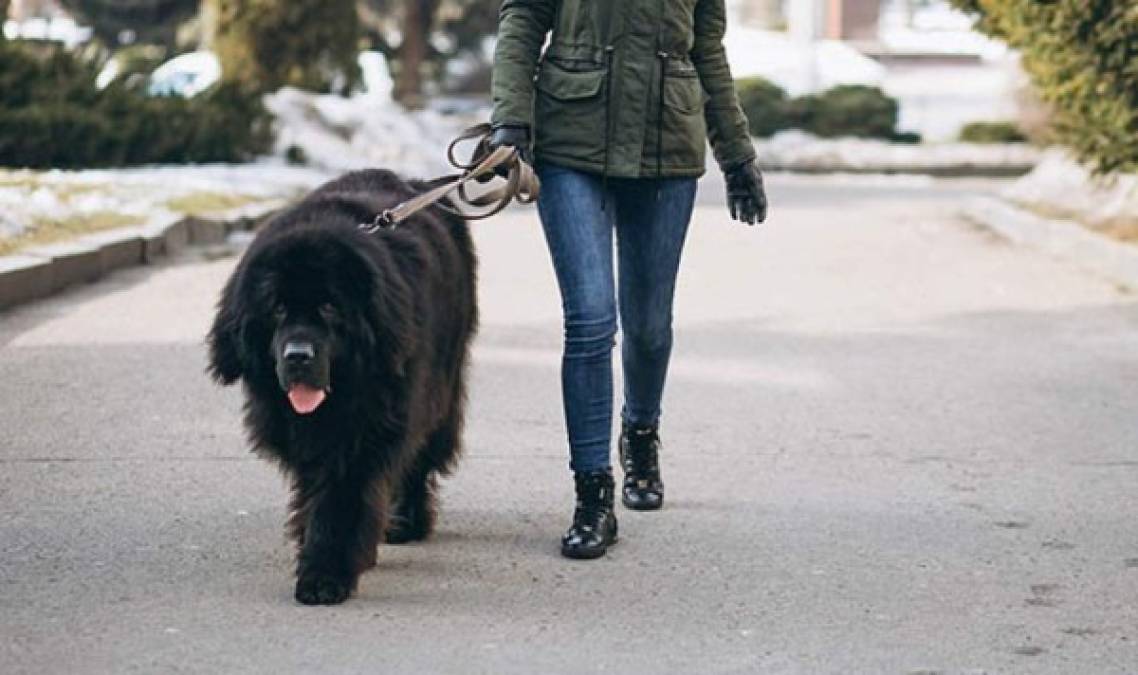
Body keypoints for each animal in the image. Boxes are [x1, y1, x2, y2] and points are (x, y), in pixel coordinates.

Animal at [208, 169, 475, 605]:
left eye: (330, 307)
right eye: (277, 308)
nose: (298, 355)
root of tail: (420, 183)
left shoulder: (367, 429)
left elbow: (341, 496)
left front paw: (324, 574)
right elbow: (313, 484)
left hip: (440, 386)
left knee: (420, 454)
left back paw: (407, 521)